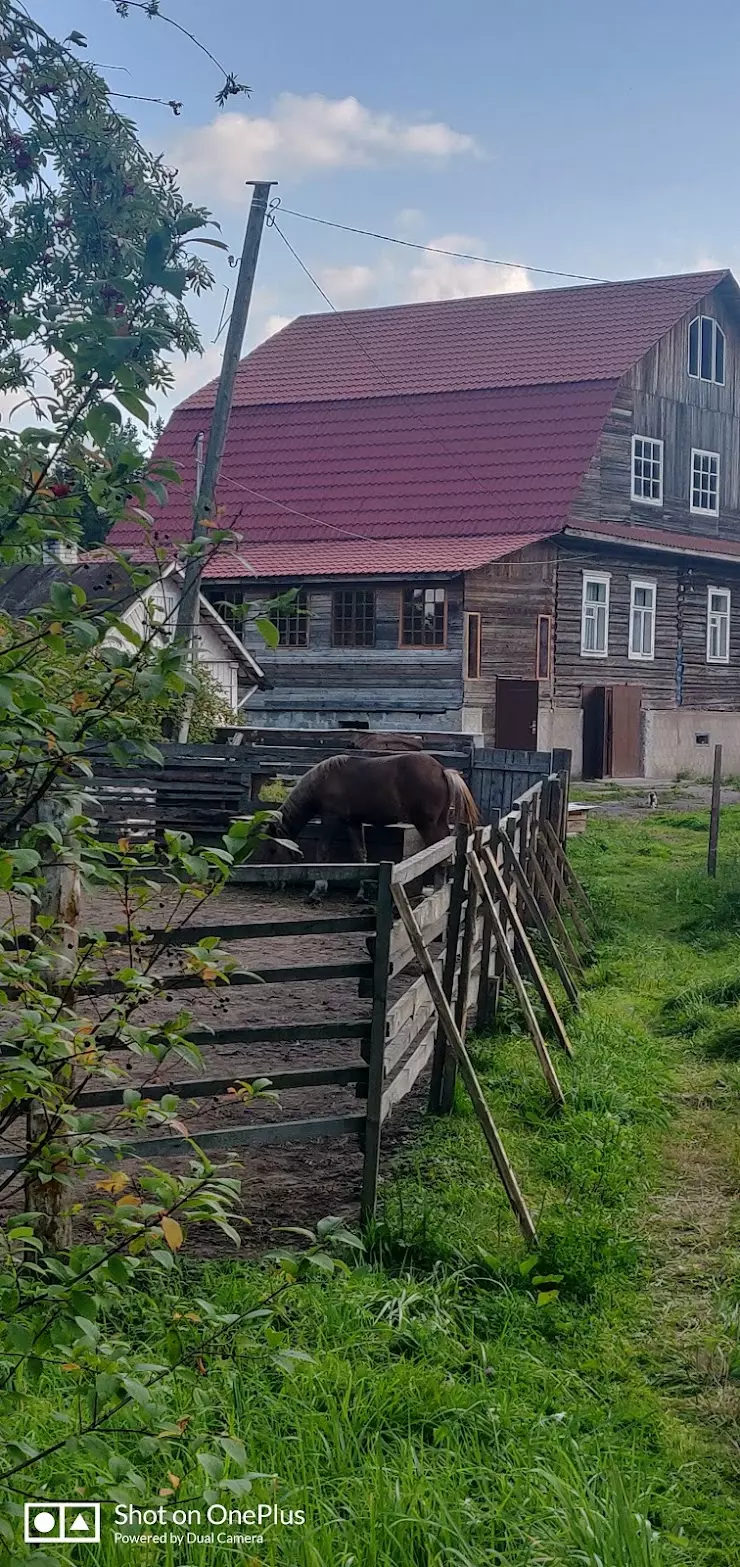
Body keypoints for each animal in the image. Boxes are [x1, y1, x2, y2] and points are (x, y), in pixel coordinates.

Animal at [258, 749, 479, 871]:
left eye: (272, 849)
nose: (264, 870)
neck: (323, 780)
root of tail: (442, 771)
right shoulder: (353, 823)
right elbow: (360, 854)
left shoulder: (330, 820)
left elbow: (322, 853)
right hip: (438, 821)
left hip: (426, 824)